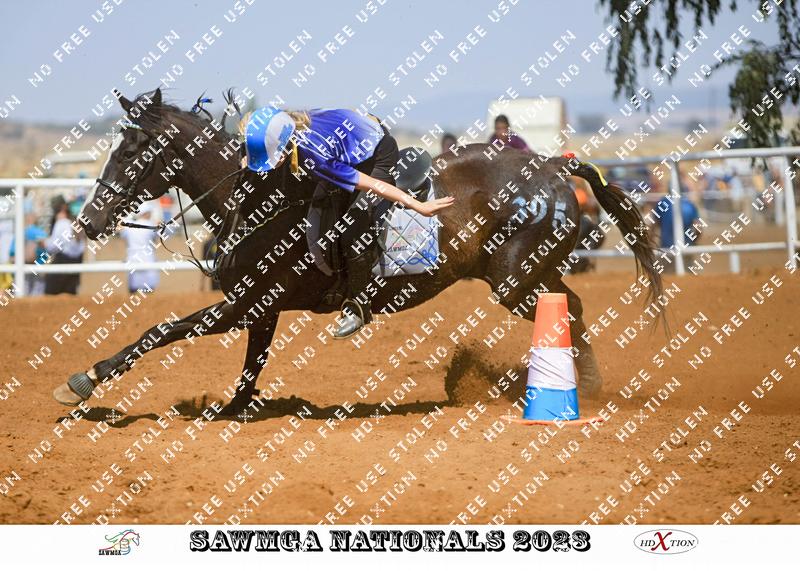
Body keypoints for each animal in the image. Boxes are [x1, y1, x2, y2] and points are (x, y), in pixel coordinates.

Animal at [53, 88, 663, 415]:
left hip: (518, 280)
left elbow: (161, 331)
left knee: (568, 311)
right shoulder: (261, 310)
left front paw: (83, 380)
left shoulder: (242, 305)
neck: (260, 198)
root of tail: (555, 165)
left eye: (132, 150)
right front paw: (233, 411)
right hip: (525, 276)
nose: (90, 220)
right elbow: (250, 366)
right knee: (572, 307)